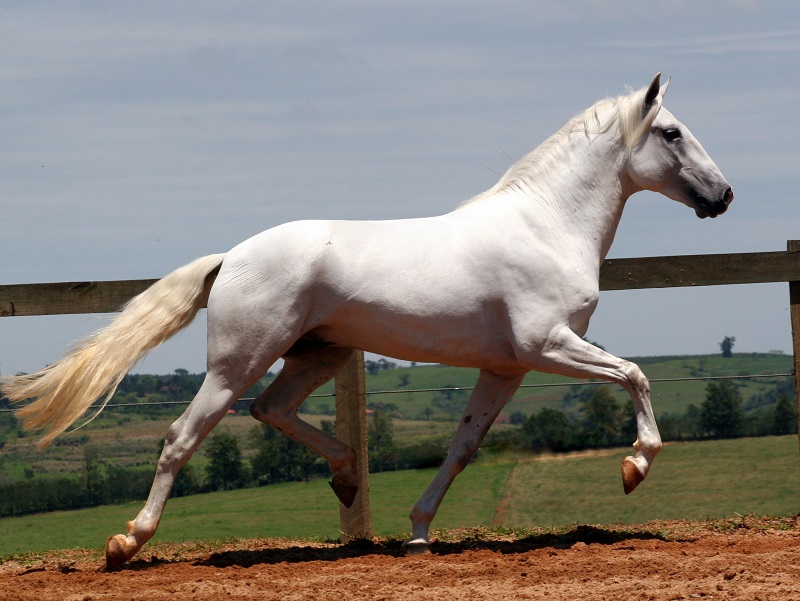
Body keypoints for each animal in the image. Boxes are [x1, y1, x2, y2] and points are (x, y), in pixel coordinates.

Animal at [2, 73, 733, 569]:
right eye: (671, 132)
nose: (723, 195)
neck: (547, 225)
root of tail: (231, 257)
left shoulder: (505, 366)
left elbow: (464, 446)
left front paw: (418, 531)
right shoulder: (547, 345)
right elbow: (634, 374)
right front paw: (634, 466)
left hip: (316, 353)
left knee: (272, 409)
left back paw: (348, 474)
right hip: (236, 361)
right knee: (185, 435)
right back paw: (127, 540)